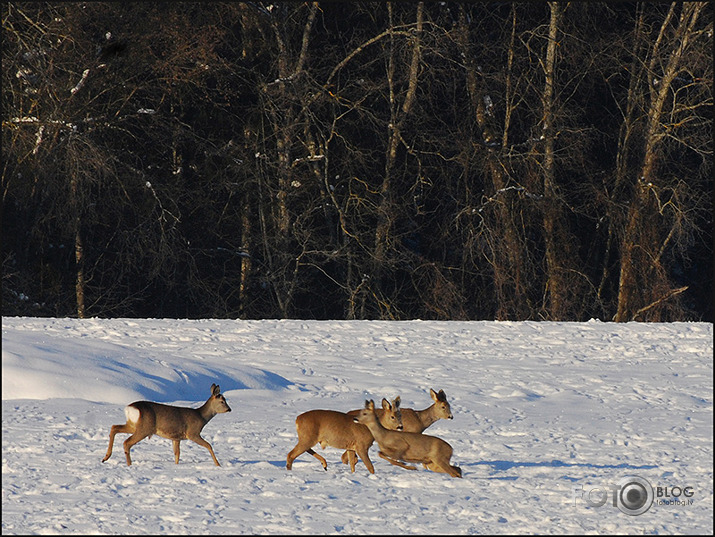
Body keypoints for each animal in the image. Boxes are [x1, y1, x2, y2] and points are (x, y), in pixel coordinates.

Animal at [99, 382, 229, 464]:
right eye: (222, 401)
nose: (229, 409)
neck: (201, 417)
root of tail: (129, 408)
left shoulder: (176, 437)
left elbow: (177, 454)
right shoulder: (193, 433)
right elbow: (209, 445)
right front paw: (218, 464)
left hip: (133, 425)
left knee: (114, 427)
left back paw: (105, 457)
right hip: (144, 428)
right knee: (127, 442)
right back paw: (129, 464)